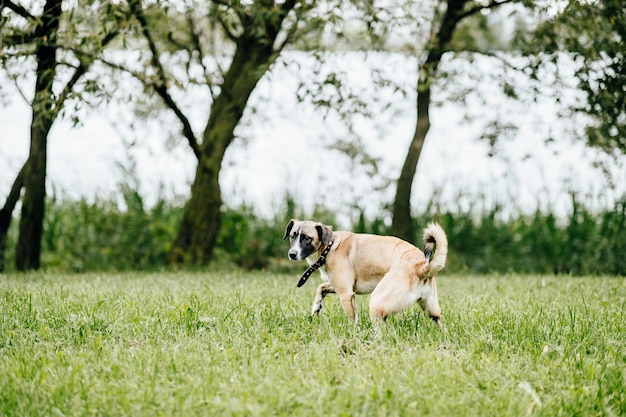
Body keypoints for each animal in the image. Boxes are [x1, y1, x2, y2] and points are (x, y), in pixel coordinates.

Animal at [286, 218, 446, 324]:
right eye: (293, 236)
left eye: (306, 238)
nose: (292, 254)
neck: (330, 247)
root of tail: (422, 267)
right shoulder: (341, 287)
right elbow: (321, 288)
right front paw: (316, 307)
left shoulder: (346, 294)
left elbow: (353, 320)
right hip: (431, 309)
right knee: (438, 321)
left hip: (376, 302)